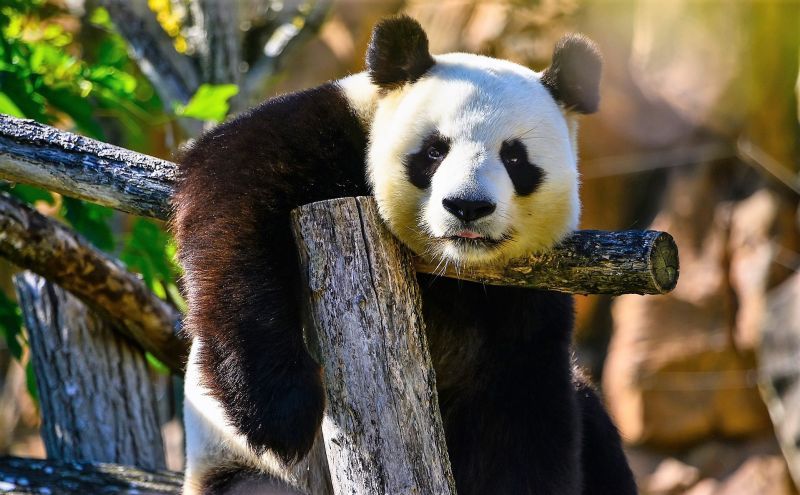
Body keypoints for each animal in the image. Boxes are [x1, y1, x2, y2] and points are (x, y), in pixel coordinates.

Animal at [174, 16, 637, 495]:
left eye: (514, 157)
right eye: (434, 150)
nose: (467, 206)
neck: (450, 269)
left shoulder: (527, 304)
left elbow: (523, 415)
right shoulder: (327, 132)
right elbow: (233, 203)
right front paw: (282, 413)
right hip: (243, 471)